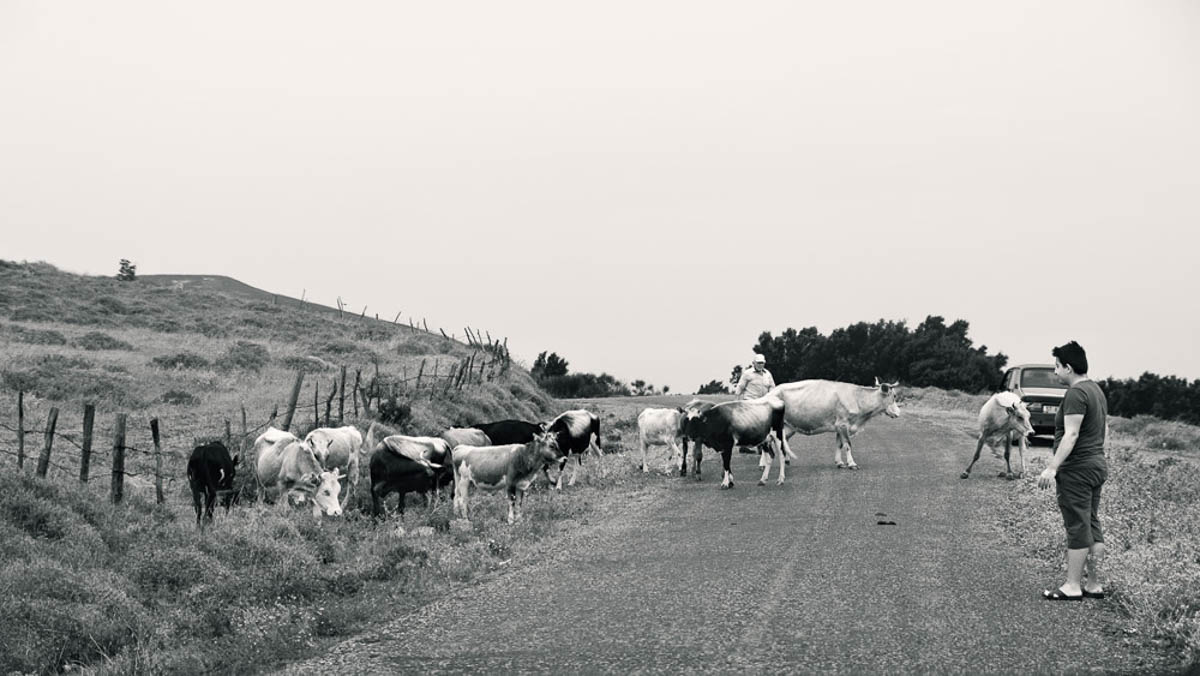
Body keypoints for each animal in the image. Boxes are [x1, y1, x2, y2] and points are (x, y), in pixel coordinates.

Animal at [768, 381, 902, 470]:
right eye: (894, 396)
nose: (899, 413)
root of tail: (773, 391)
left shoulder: (839, 427)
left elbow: (839, 444)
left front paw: (839, 462)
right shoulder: (843, 424)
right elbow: (848, 444)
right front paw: (852, 464)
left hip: (788, 428)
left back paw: (784, 460)